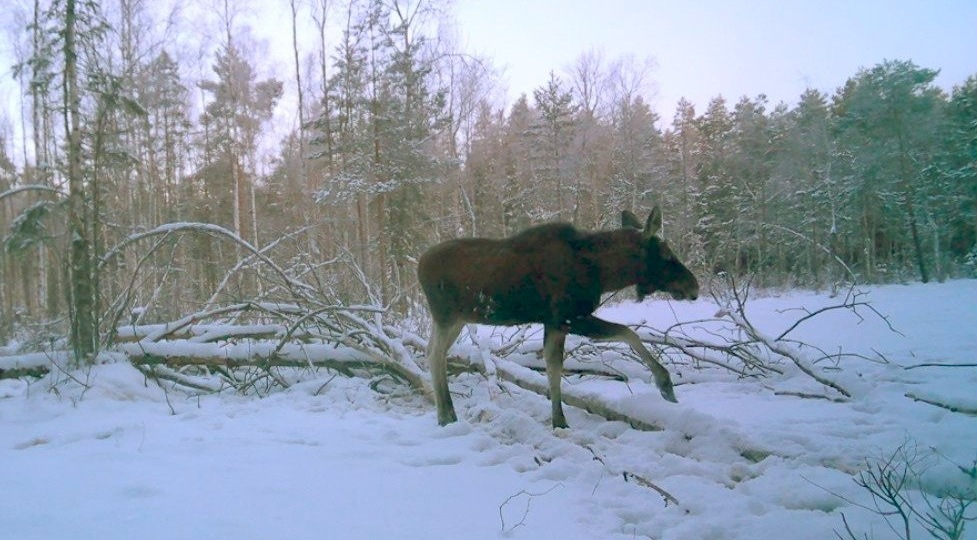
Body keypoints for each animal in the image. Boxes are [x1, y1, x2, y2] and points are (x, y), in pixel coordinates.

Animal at [416, 208, 696, 430]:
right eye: (666, 254)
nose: (693, 285)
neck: (602, 273)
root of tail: (418, 265)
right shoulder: (569, 317)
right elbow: (628, 332)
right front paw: (665, 383)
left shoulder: (555, 323)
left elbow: (553, 367)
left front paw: (558, 419)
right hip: (445, 316)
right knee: (434, 354)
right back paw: (446, 414)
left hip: (457, 320)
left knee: (432, 351)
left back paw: (445, 413)